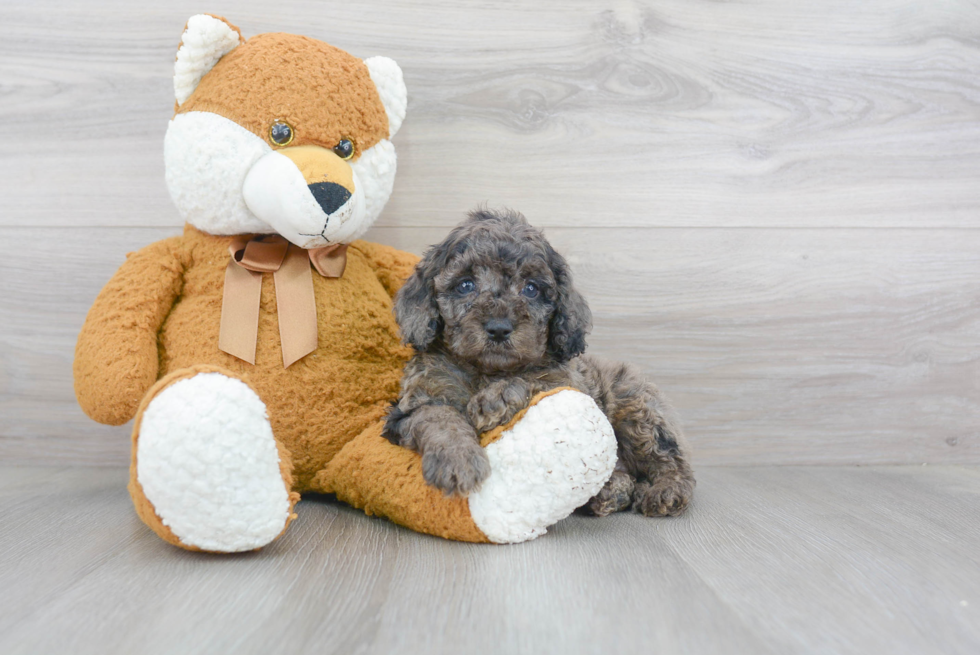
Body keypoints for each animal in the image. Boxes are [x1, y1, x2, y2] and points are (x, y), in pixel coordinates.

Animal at [378, 210, 692, 516]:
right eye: (465, 285)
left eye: (530, 289)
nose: (499, 328)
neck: (486, 370)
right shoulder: (411, 405)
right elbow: (438, 417)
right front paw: (458, 462)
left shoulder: (568, 383)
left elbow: (534, 378)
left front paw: (494, 399)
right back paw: (610, 492)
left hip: (634, 404)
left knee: (668, 456)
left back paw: (664, 491)